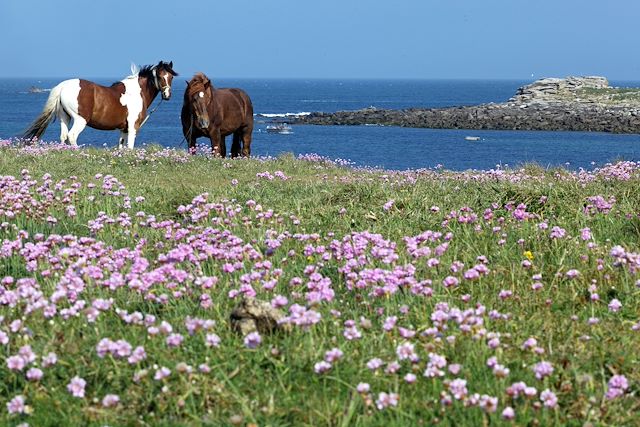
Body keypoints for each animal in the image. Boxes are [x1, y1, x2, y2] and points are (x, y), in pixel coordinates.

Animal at [23, 61, 178, 149]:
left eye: (170, 77)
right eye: (160, 76)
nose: (167, 95)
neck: (136, 92)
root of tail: (62, 86)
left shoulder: (124, 129)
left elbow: (121, 146)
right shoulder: (133, 126)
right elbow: (130, 147)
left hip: (64, 118)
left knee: (63, 136)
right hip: (80, 120)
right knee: (72, 136)